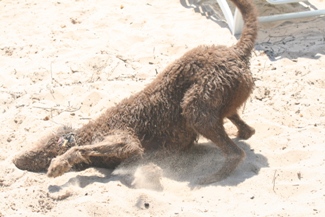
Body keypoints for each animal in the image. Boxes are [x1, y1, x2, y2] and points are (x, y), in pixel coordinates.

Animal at [12, 0, 256, 184]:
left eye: (41, 151)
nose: (15, 160)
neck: (86, 133)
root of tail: (236, 51)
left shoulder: (123, 140)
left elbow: (81, 150)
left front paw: (59, 164)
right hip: (221, 101)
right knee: (245, 128)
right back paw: (240, 135)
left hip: (196, 107)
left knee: (235, 152)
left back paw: (212, 177)